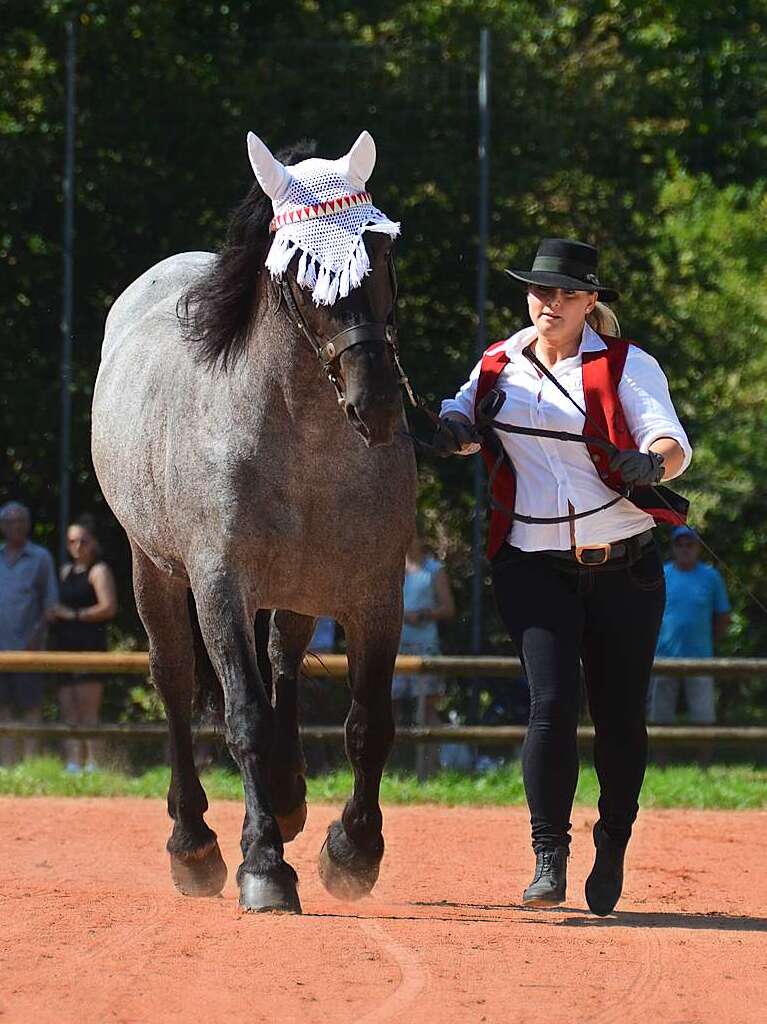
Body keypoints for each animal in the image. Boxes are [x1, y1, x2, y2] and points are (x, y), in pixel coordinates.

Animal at [92, 130, 415, 913]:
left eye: (382, 251)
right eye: (301, 267)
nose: (377, 401)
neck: (306, 444)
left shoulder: (377, 591)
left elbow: (369, 724)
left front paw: (352, 851)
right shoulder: (219, 587)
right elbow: (243, 717)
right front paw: (263, 865)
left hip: (298, 588)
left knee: (284, 663)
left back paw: (290, 796)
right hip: (152, 570)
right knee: (176, 681)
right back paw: (194, 844)